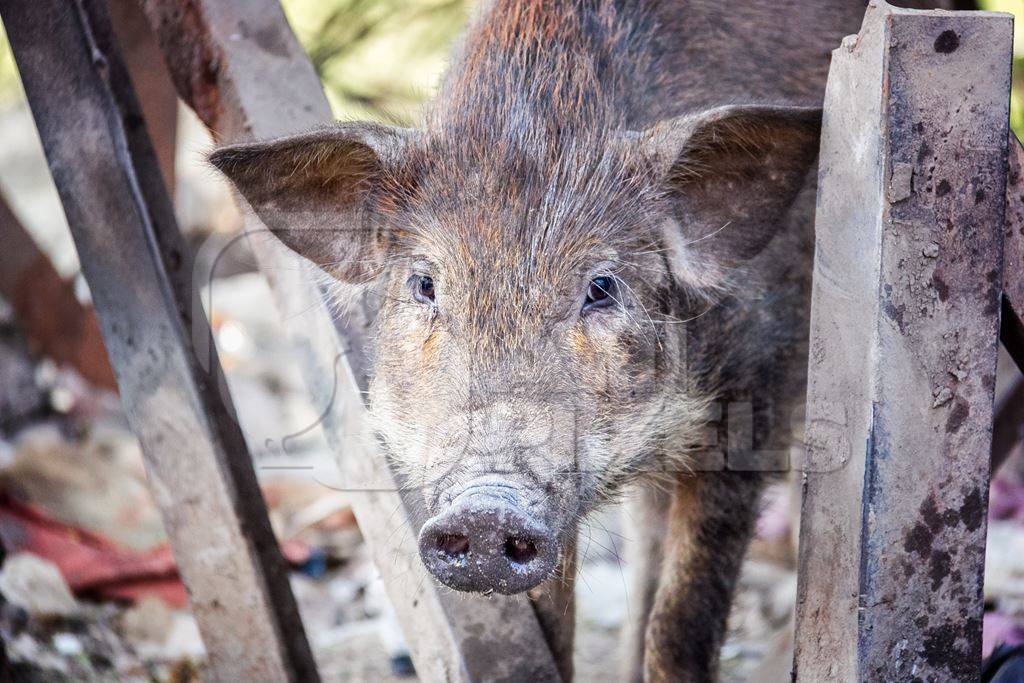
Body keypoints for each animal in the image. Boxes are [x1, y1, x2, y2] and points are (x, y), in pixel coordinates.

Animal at [214, 0, 958, 679]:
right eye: (424, 283)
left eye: (601, 286)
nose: (487, 509)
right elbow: (554, 627)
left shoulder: (755, 396)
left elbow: (683, 616)